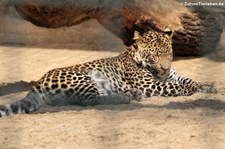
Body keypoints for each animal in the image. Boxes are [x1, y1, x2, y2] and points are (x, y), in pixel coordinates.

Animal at [0, 30, 218, 116]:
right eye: (154, 55)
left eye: (168, 53)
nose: (164, 67)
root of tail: (38, 82)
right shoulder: (150, 84)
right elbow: (176, 86)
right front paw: (191, 89)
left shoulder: (171, 75)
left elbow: (188, 79)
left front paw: (208, 86)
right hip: (83, 78)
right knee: (90, 101)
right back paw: (125, 97)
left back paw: (130, 94)